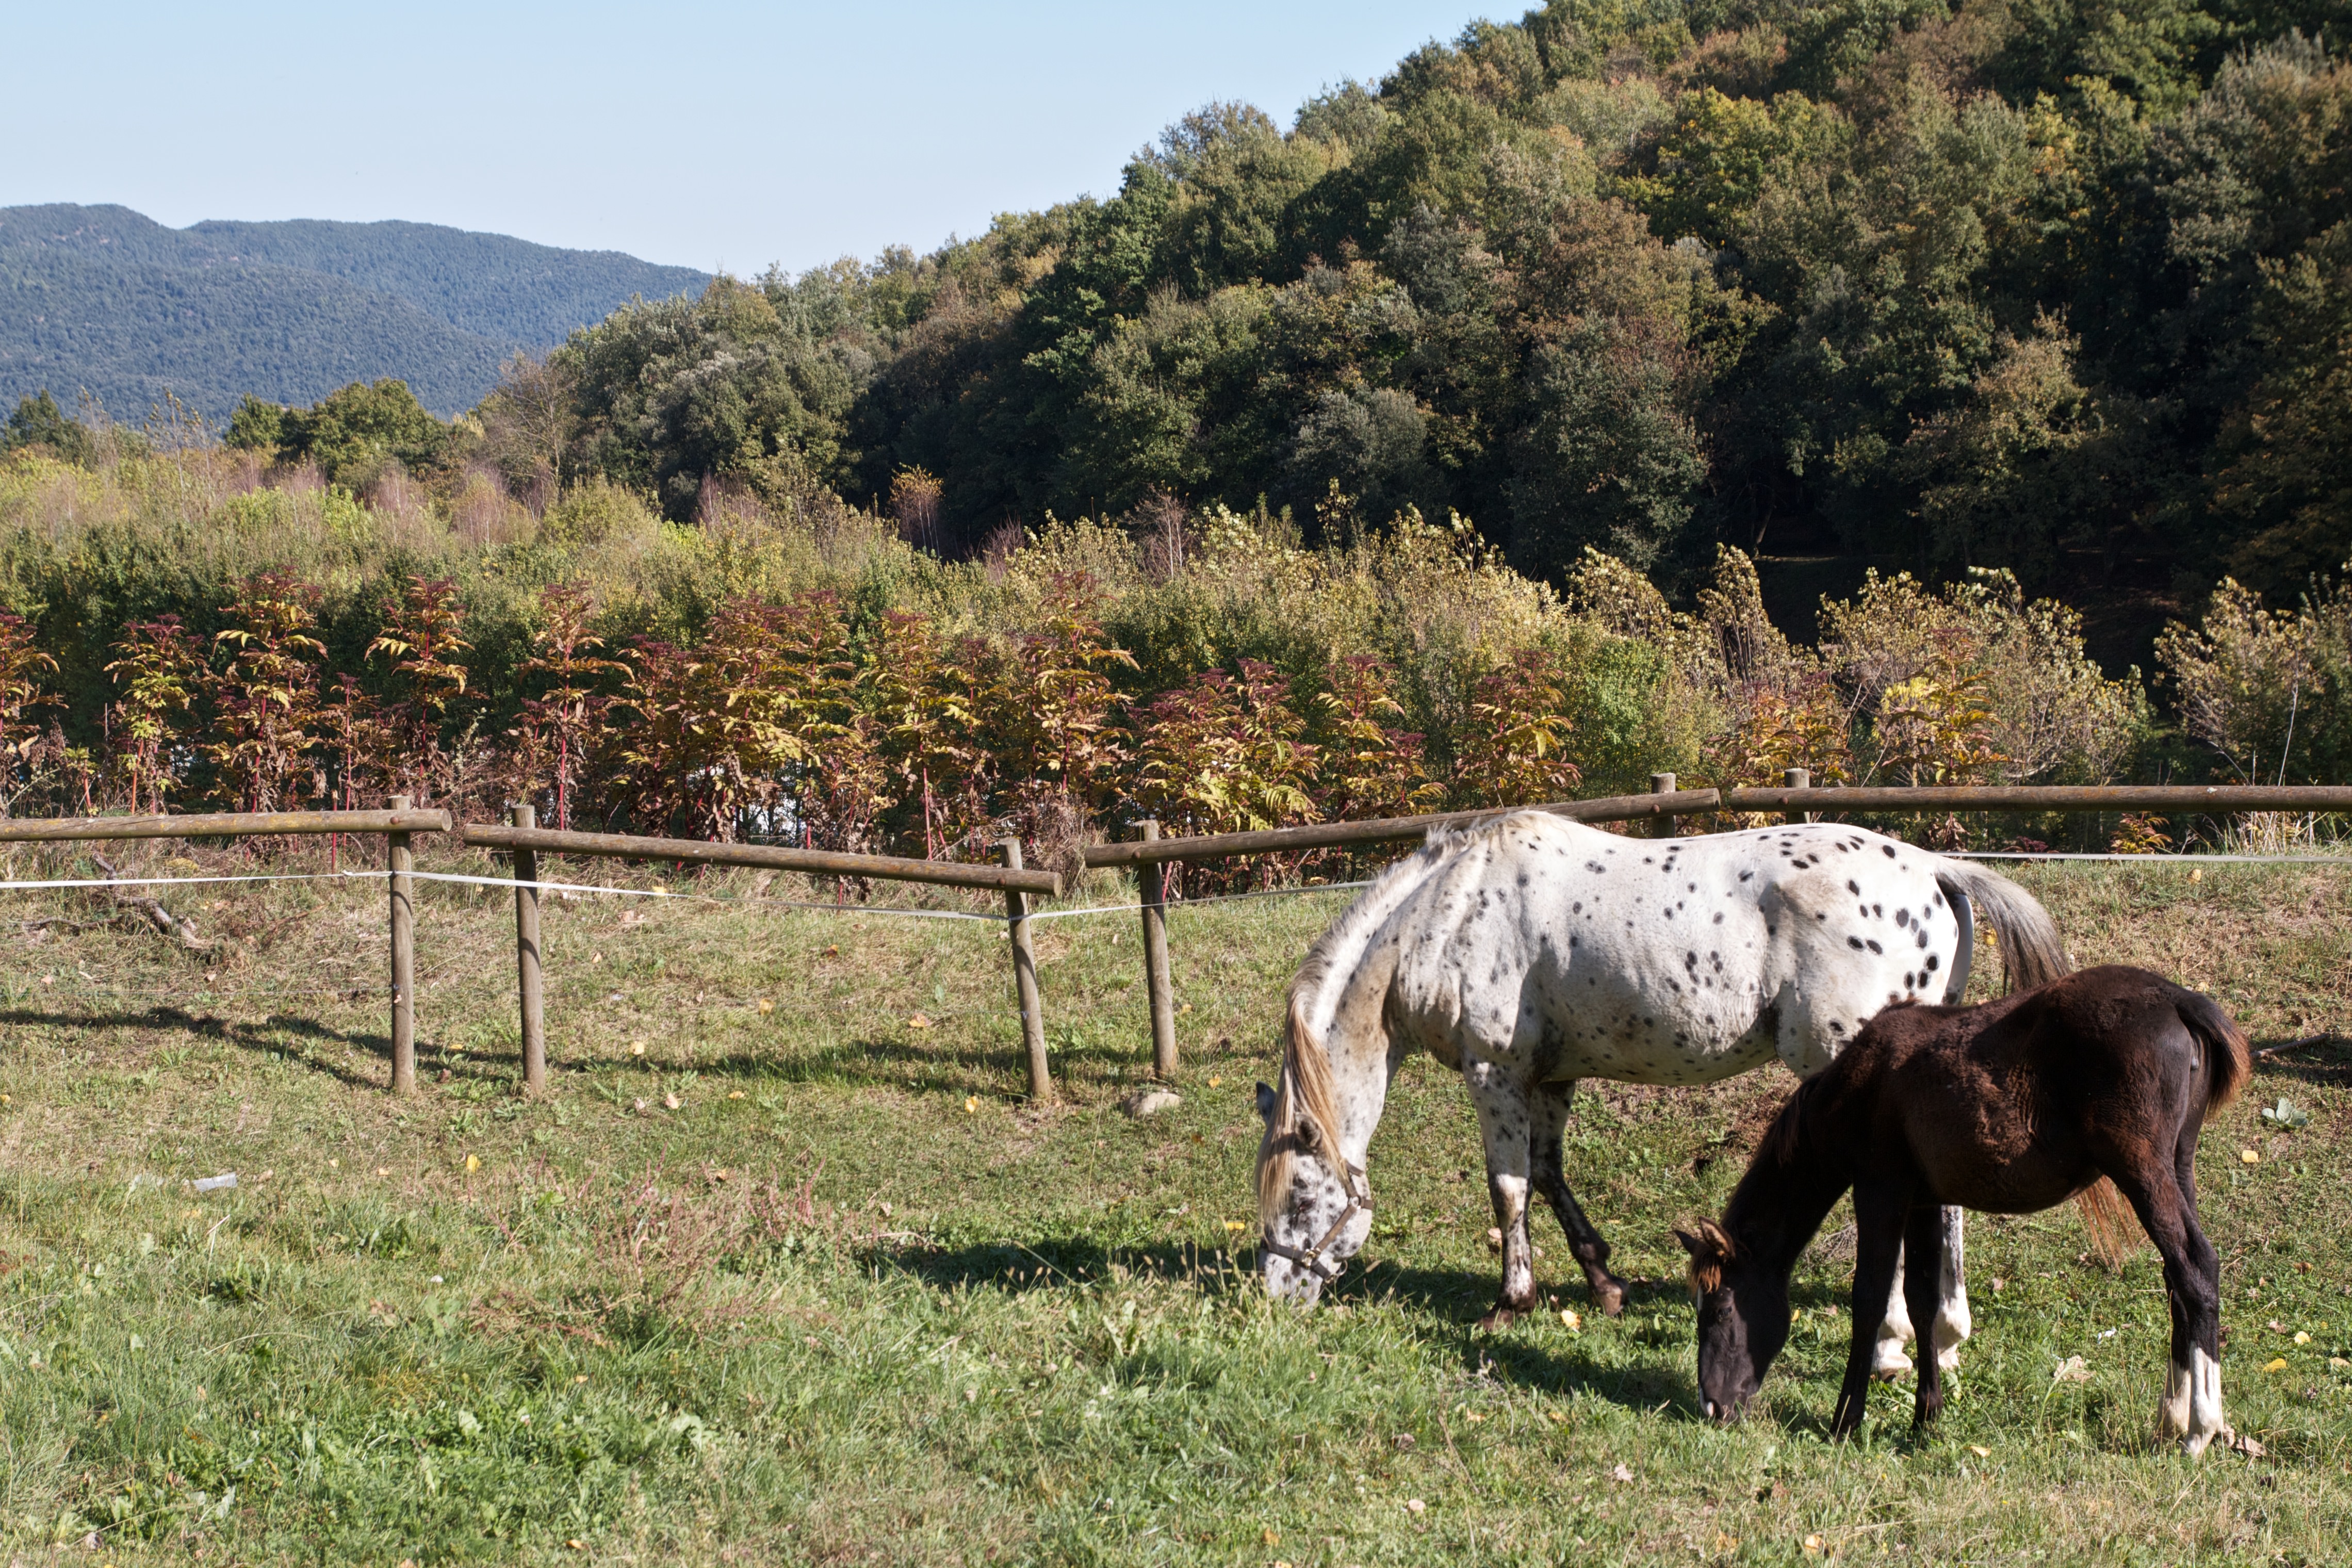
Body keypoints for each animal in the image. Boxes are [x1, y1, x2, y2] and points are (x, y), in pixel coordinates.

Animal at [1252, 808, 2070, 1381]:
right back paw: (1944, 1335)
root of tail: (1935, 871)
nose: (1274, 1296)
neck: (1449, 914)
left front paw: (1509, 1305)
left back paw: (1894, 1347)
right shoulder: (1552, 1079)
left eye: (1303, 1197)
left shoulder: (1496, 1075)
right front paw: (1604, 1283)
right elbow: (1549, 1175)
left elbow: (1508, 1190)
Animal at [1676, 965, 2250, 1453]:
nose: (1712, 1406)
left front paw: (1846, 1419)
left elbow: (1870, 1298)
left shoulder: (1880, 1190)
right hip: (2176, 1166)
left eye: (1720, 1309)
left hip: (2142, 1171)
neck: (1862, 1081)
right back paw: (2172, 1416)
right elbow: (1921, 1299)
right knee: (2178, 1279)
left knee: (2195, 1268)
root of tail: (2178, 1000)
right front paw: (1925, 1416)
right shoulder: (1924, 1202)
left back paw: (2201, 1427)